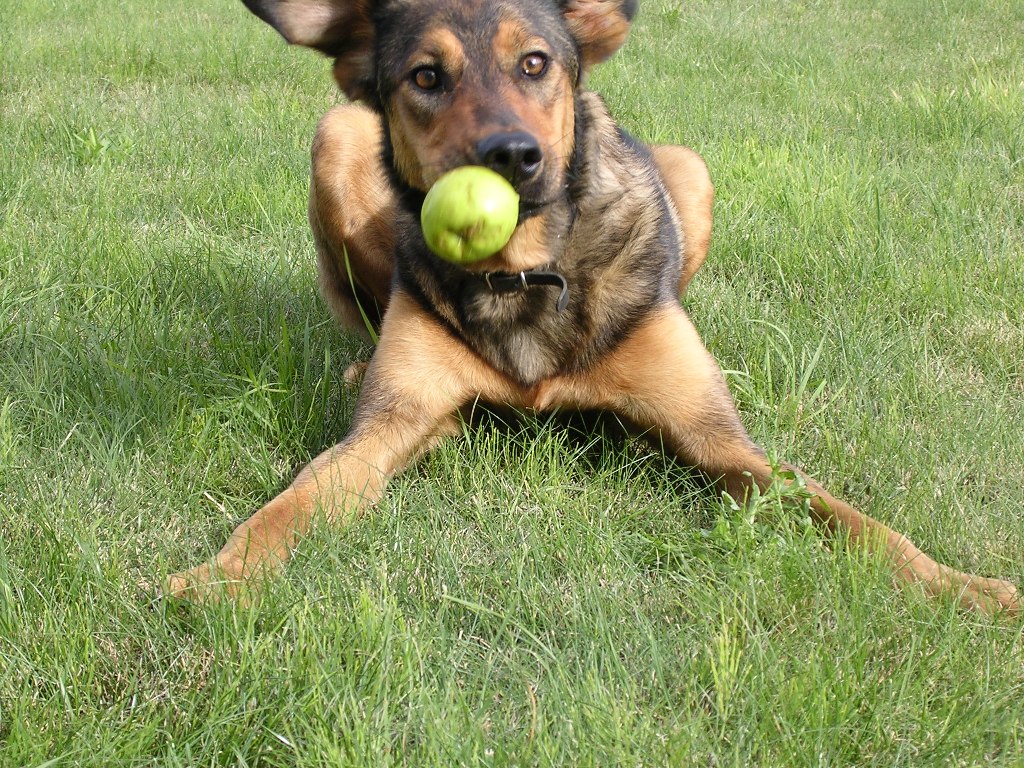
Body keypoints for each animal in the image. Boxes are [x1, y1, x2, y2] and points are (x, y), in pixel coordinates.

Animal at [165, 0, 1015, 618]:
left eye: (534, 64)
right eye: (425, 77)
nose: (512, 157)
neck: (525, 271)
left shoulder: (721, 442)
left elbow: (853, 519)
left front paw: (963, 587)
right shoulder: (389, 430)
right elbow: (292, 502)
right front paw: (218, 574)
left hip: (692, 171)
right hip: (337, 135)